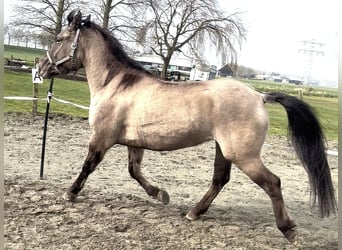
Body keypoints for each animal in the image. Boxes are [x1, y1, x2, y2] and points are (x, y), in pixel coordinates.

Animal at [38, 10, 336, 244]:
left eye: (59, 39)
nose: (40, 68)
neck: (116, 84)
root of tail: (259, 96)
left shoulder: (101, 138)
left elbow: (88, 166)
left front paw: (70, 193)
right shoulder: (134, 143)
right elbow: (134, 172)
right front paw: (160, 195)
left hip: (243, 155)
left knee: (272, 182)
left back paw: (289, 230)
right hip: (223, 150)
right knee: (219, 180)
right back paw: (194, 212)